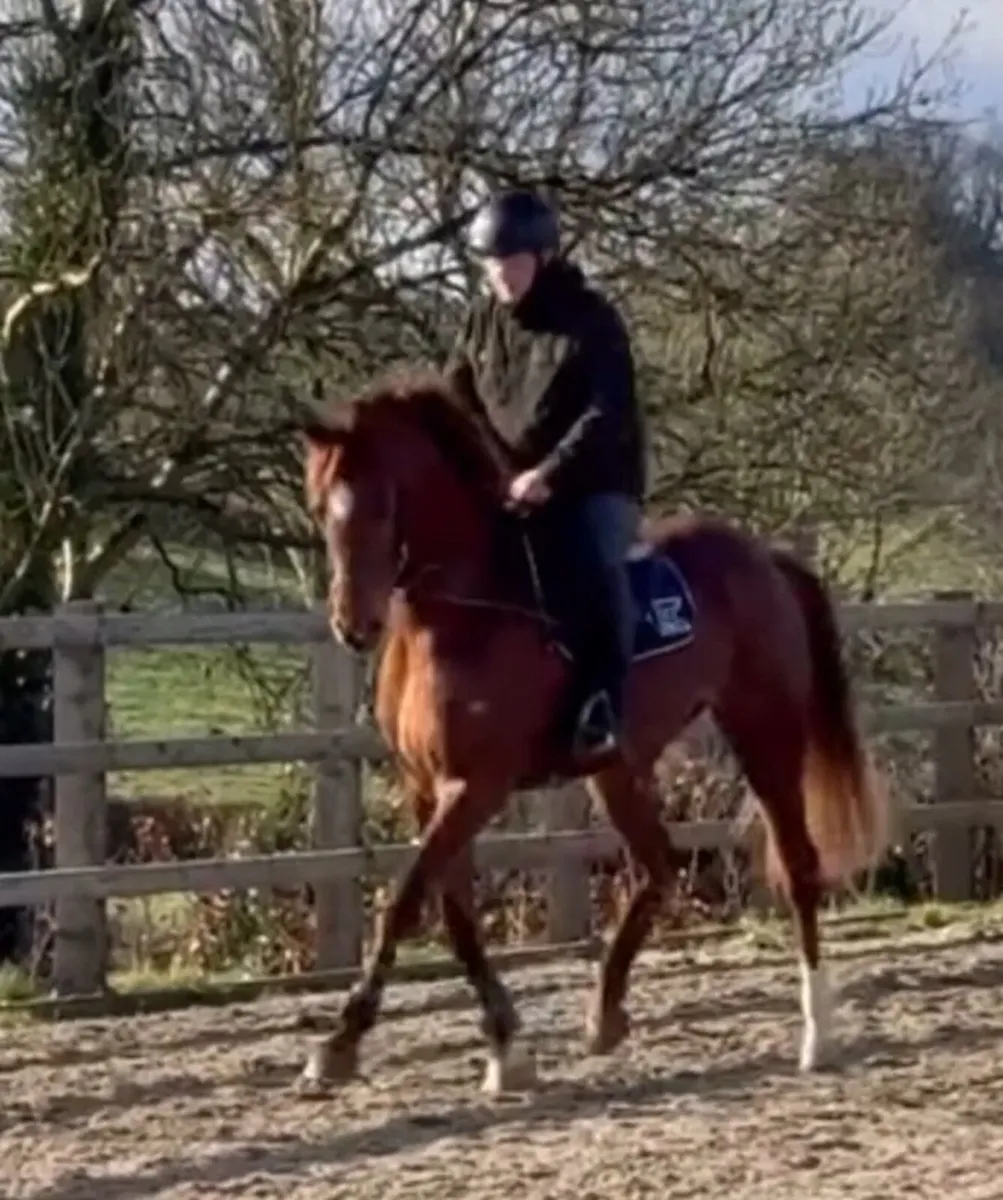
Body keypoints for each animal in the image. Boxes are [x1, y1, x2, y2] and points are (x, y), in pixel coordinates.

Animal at [299, 370, 889, 1095]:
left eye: (383, 508)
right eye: (320, 507)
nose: (353, 625)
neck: (457, 616)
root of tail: (762, 555)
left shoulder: (476, 786)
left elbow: (406, 902)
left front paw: (339, 1044)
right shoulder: (427, 787)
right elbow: (455, 913)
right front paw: (506, 1046)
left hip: (764, 731)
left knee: (798, 866)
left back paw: (818, 1033)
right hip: (618, 768)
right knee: (660, 865)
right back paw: (605, 1012)